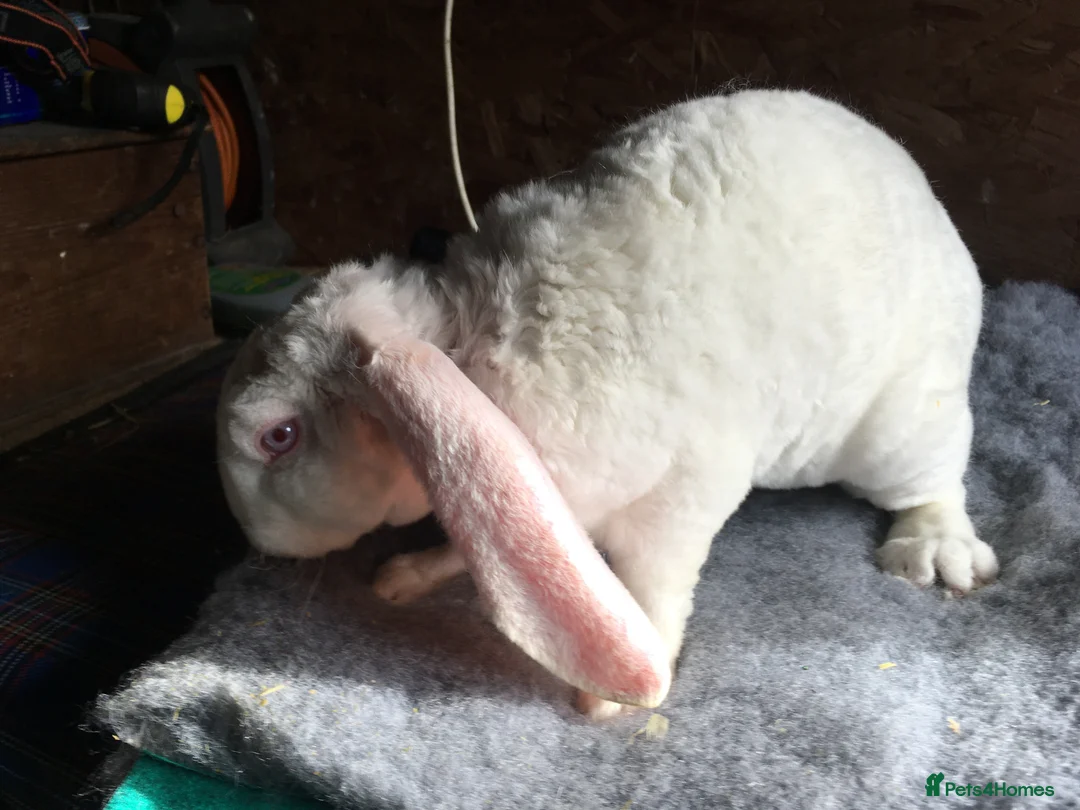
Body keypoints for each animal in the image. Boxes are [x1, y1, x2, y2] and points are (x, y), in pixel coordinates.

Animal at [217, 88, 999, 720]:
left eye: (278, 437)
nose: (258, 541)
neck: (466, 351)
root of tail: (935, 212)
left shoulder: (683, 493)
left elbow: (657, 581)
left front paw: (612, 698)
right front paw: (402, 579)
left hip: (901, 425)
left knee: (936, 481)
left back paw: (937, 555)